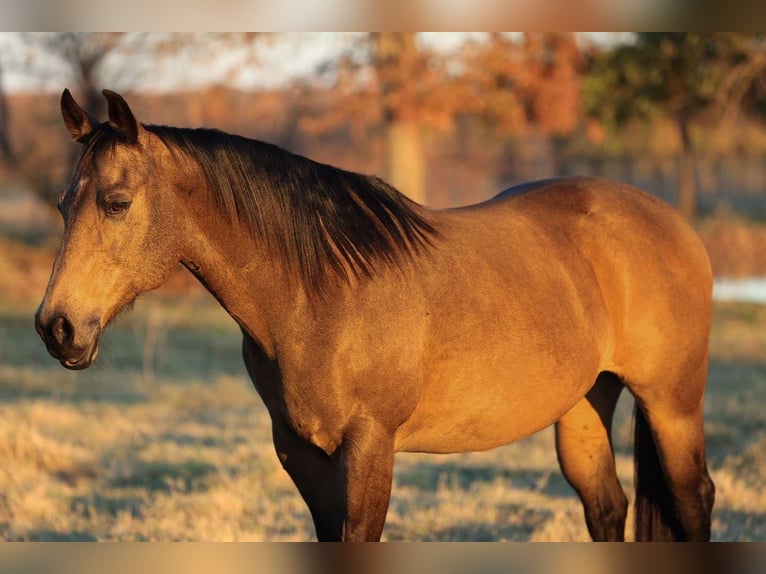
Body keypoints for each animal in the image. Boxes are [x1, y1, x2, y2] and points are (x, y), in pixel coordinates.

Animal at [34, 88, 720, 544]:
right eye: (65, 204)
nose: (56, 327)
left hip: (672, 404)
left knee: (693, 502)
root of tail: (673, 224)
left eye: (116, 203)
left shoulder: (369, 447)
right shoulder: (301, 453)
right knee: (606, 506)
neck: (318, 294)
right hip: (582, 406)